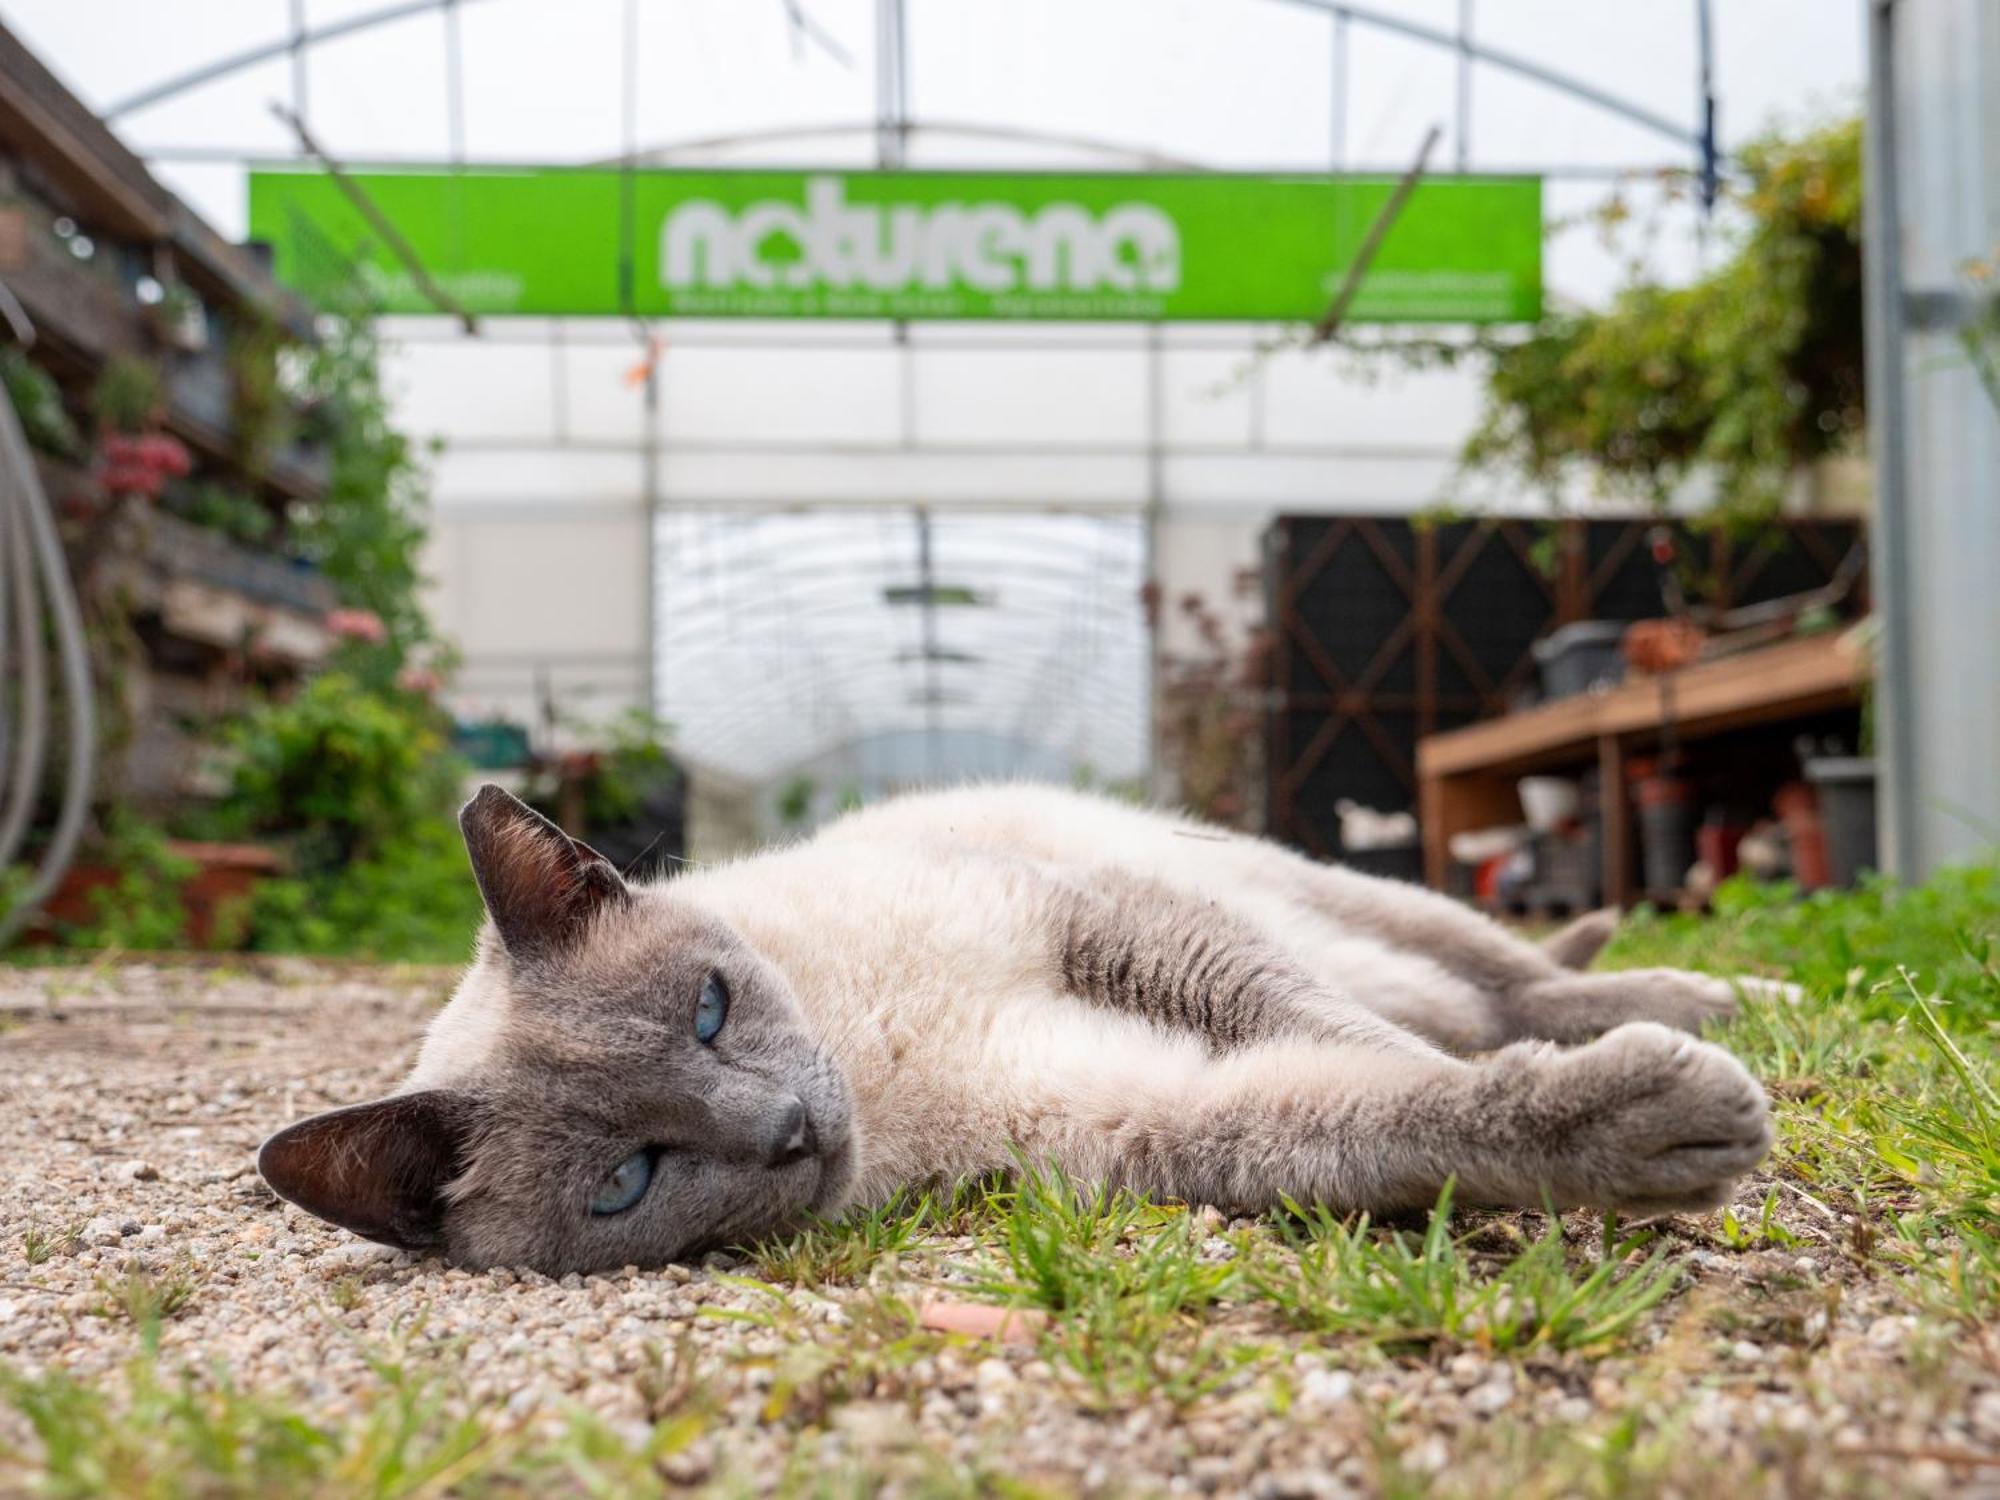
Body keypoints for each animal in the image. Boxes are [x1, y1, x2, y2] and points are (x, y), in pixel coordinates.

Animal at [262, 788, 1784, 1280]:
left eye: (707, 1009)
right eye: (626, 1180)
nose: (792, 1130)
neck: (878, 1069)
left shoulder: (1115, 927)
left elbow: (1384, 1054)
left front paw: (1680, 1103)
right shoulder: (1144, 1119)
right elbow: (1389, 1104)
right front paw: (1655, 1133)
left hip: (1324, 892)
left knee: (1498, 981)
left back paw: (1734, 999)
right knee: (1464, 1008)